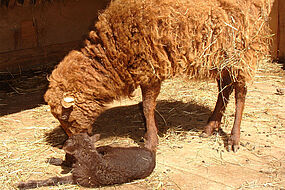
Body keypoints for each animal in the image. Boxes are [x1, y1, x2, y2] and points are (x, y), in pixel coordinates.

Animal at [44, 0, 272, 152]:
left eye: (65, 116)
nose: (67, 147)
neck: (112, 51)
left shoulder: (150, 69)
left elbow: (147, 107)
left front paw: (151, 141)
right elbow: (146, 107)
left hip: (242, 49)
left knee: (240, 93)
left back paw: (234, 139)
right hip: (220, 55)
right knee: (225, 87)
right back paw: (210, 126)